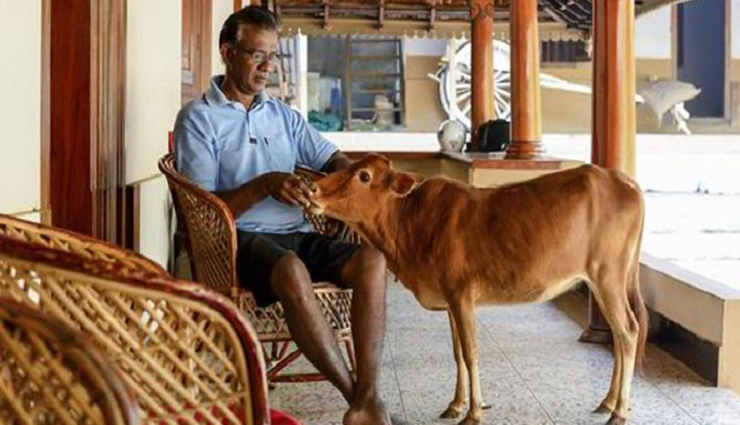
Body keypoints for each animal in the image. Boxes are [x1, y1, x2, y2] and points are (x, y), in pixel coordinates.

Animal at [308, 153, 647, 425]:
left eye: (364, 176)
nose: (312, 189)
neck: (408, 227)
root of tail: (624, 180)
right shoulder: (449, 301)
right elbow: (457, 352)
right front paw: (456, 404)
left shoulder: (461, 295)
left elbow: (471, 352)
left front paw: (473, 412)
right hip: (602, 282)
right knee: (619, 335)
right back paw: (608, 402)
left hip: (608, 276)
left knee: (628, 331)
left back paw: (619, 411)